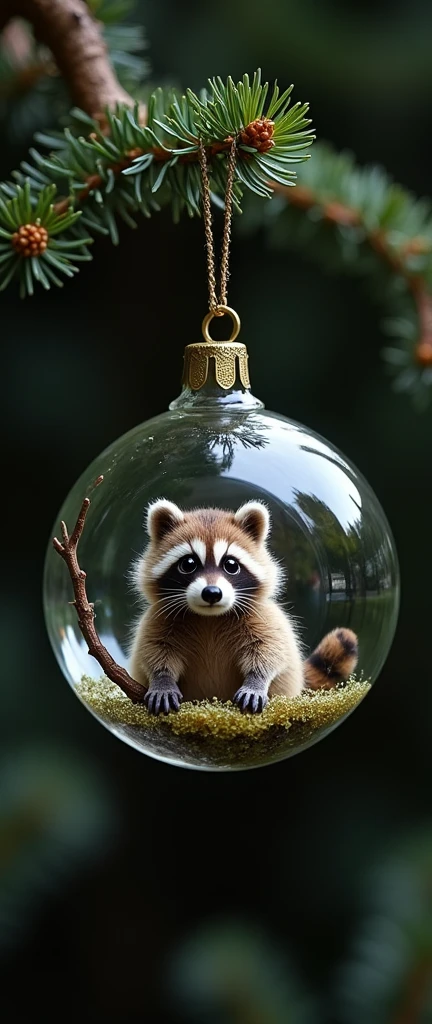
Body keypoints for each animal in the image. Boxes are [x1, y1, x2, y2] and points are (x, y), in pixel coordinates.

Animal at [128, 499, 358, 716]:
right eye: (188, 564)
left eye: (231, 565)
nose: (212, 593)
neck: (209, 617)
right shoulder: (158, 618)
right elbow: (153, 650)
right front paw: (162, 680)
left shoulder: (262, 617)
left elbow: (269, 651)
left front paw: (256, 681)